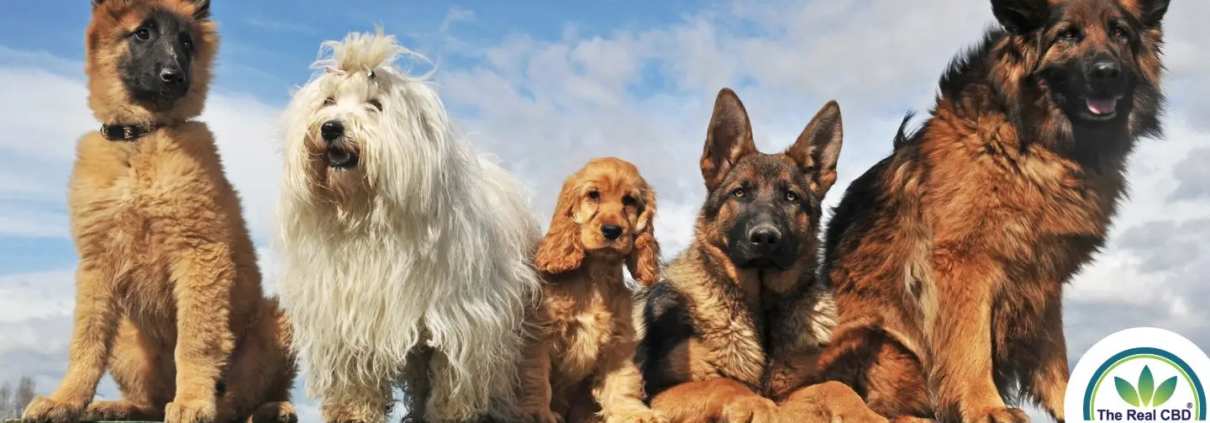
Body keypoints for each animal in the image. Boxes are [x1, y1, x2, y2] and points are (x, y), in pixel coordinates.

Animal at [20, 0, 297, 423]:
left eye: (186, 42)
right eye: (142, 34)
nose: (175, 77)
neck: (140, 139)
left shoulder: (199, 253)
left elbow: (196, 339)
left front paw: (194, 401)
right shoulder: (96, 266)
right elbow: (86, 341)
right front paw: (64, 399)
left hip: (273, 321)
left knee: (239, 402)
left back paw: (266, 408)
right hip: (126, 335)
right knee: (149, 403)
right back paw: (116, 407)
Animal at [274, 29, 544, 423]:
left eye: (375, 105)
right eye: (328, 100)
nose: (331, 127)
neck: (366, 216)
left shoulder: (458, 329)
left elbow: (449, 391)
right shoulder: (348, 327)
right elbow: (355, 390)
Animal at [513, 157, 663, 420]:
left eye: (629, 200)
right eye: (593, 195)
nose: (612, 230)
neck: (597, 275)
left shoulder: (618, 341)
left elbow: (622, 382)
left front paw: (634, 413)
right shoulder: (539, 335)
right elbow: (537, 379)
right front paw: (539, 414)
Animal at [634, 87, 880, 420]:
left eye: (791, 197)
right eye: (739, 193)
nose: (765, 238)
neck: (761, 312)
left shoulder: (792, 392)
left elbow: (835, 387)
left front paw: (866, 414)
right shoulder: (657, 394)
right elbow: (724, 382)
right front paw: (758, 406)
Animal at [813, 0, 1171, 420]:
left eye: (1119, 33)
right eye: (1067, 35)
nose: (1107, 73)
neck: (1034, 143)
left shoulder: (1042, 279)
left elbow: (1054, 358)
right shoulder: (964, 262)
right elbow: (971, 344)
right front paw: (986, 406)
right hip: (876, 341)